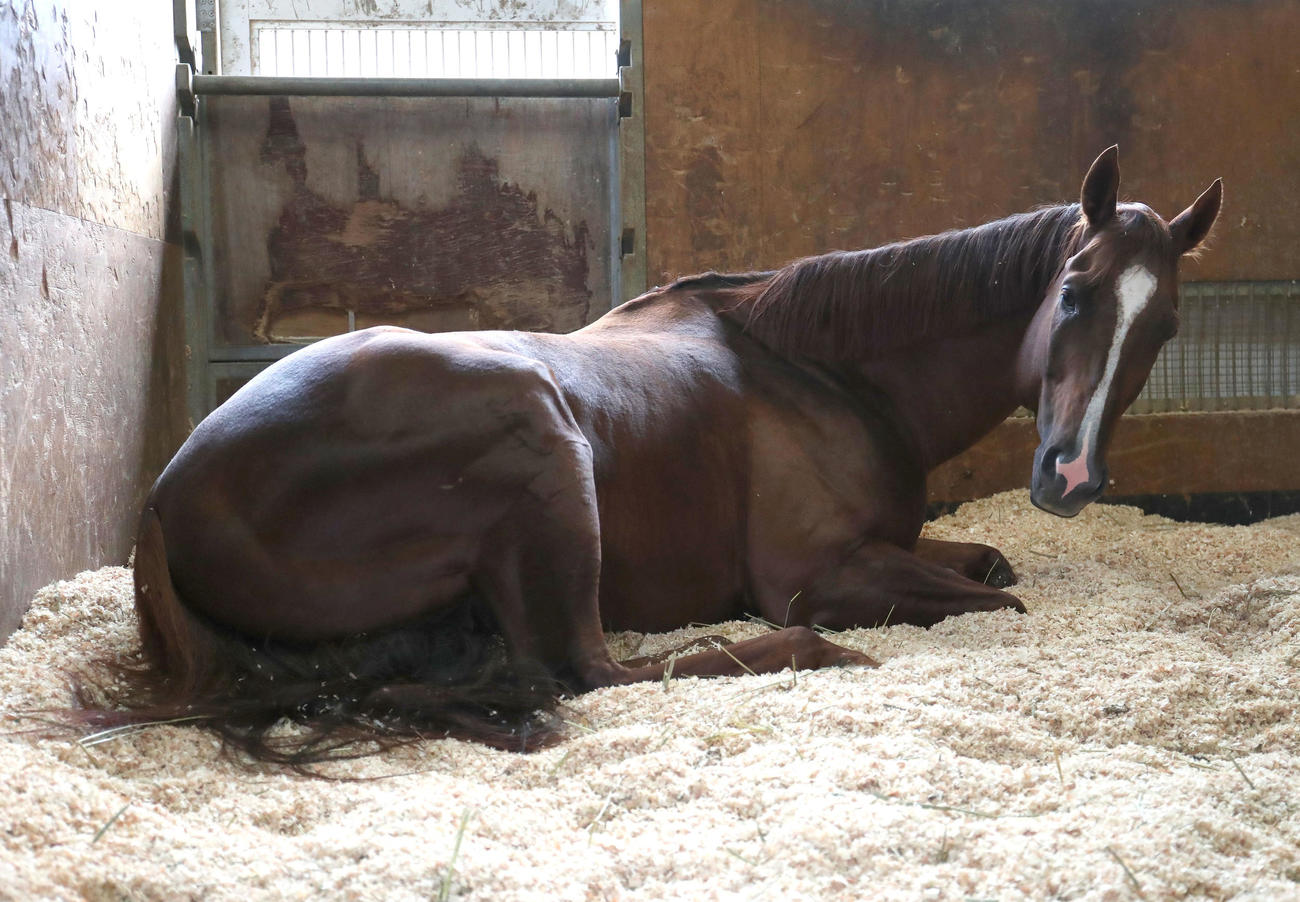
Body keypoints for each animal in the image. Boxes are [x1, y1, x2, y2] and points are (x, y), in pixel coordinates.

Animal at [95, 147, 1221, 762]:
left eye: (1165, 325)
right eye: (1072, 289)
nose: (1071, 476)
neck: (822, 370)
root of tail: (168, 494)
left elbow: (991, 565)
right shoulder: (818, 573)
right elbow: (1000, 599)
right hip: (548, 448)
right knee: (592, 671)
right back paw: (813, 654)